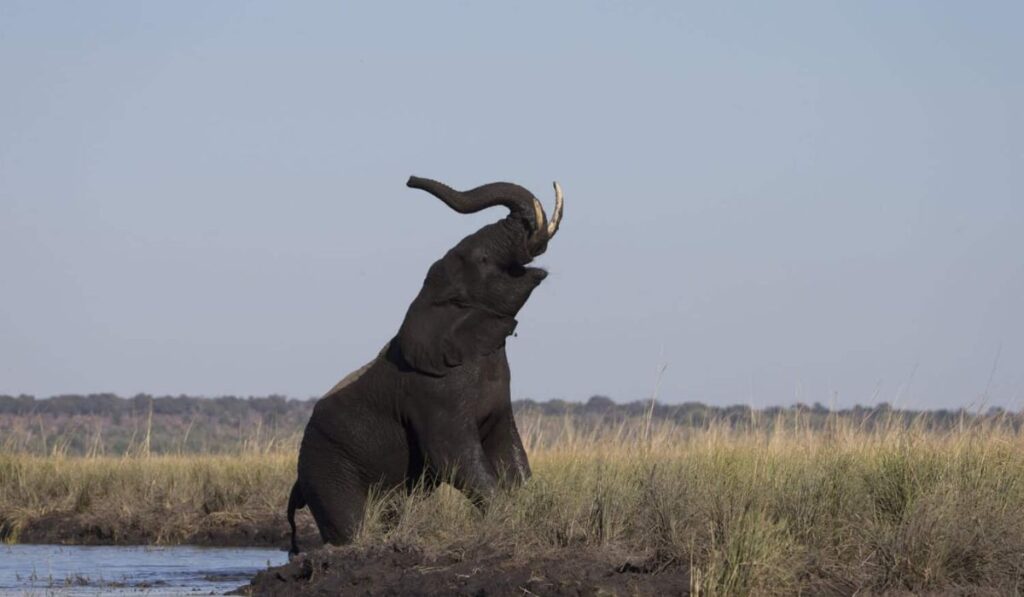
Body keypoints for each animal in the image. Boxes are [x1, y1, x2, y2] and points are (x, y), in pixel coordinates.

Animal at [287, 175, 564, 554]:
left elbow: (509, 451)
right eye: (483, 258)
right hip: (326, 468)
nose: (410, 180)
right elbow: (453, 457)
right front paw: (507, 522)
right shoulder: (432, 395)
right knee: (350, 522)